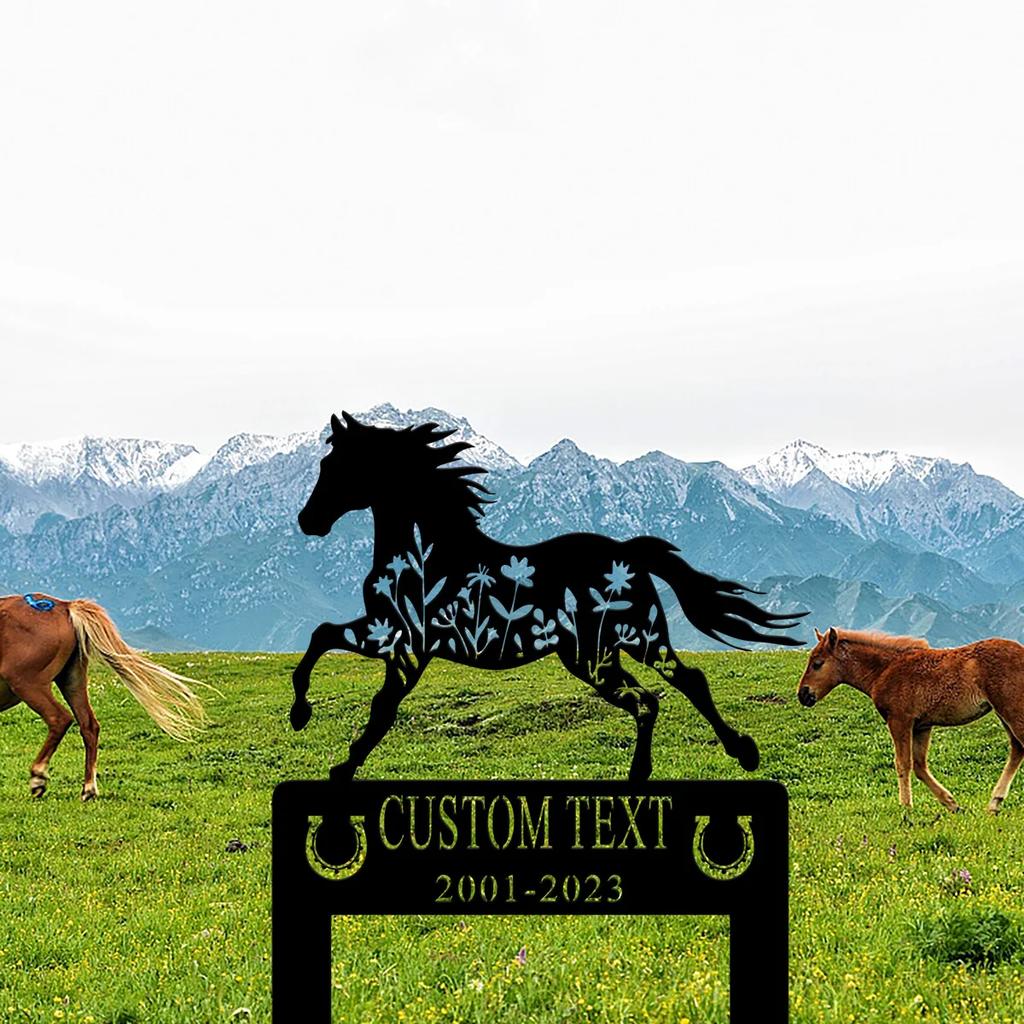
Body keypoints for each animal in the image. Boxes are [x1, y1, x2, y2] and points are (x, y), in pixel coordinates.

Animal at [0, 594, 206, 800]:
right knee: (89, 725)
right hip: (72, 680)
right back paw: (89, 788)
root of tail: (65, 606)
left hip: (28, 683)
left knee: (59, 718)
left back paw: (39, 776)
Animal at [291, 412, 805, 783]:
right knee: (648, 698)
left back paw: (743, 752)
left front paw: (325, 746)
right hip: (592, 655)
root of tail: (628, 553)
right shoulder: (388, 633)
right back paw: (641, 774)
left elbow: (375, 699)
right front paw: (309, 724)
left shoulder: (407, 642)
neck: (425, 553)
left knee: (685, 681)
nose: (307, 521)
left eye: (335, 466)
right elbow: (325, 640)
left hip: (634, 639)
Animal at [797, 626, 1024, 814]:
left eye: (817, 664)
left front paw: (906, 807)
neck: (884, 670)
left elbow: (903, 763)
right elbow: (919, 766)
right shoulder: (922, 726)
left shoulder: (900, 720)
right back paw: (994, 803)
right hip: (1003, 713)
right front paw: (952, 804)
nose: (803, 695)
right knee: (1017, 748)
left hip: (1011, 709)